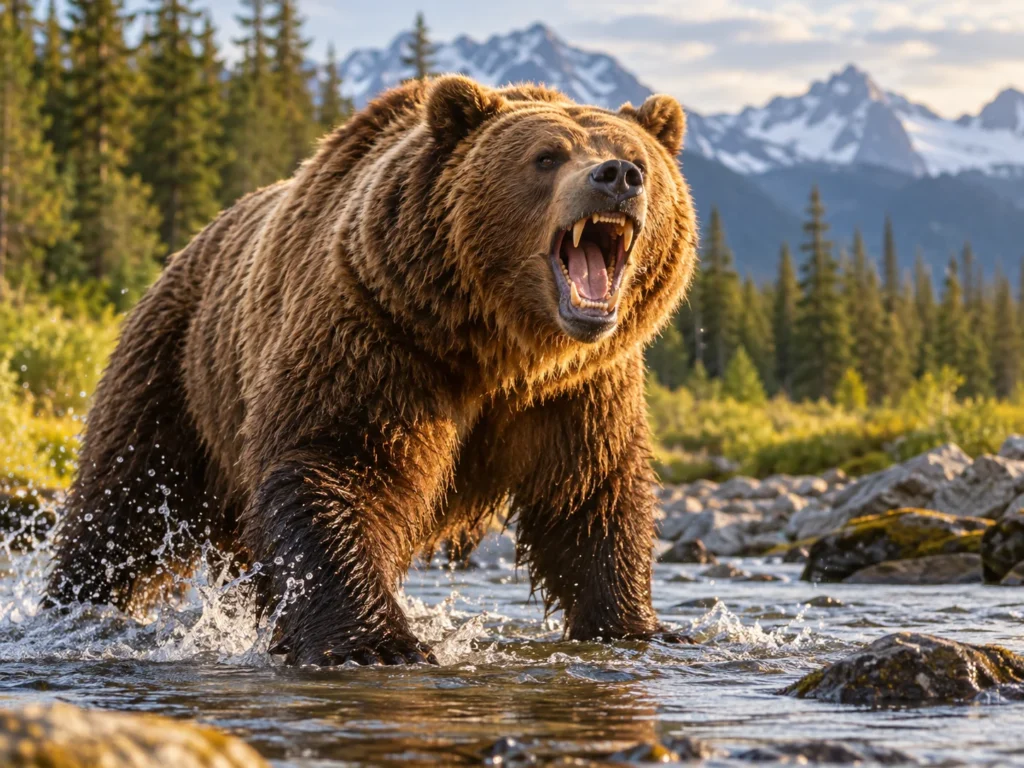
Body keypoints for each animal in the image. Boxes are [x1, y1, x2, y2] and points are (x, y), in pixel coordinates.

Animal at [45, 75, 698, 665]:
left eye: (639, 157)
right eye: (547, 156)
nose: (617, 176)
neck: (502, 350)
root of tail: (187, 248)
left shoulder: (579, 390)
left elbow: (592, 495)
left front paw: (642, 627)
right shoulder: (381, 339)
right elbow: (336, 463)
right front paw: (379, 643)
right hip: (176, 367)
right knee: (122, 505)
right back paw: (76, 608)